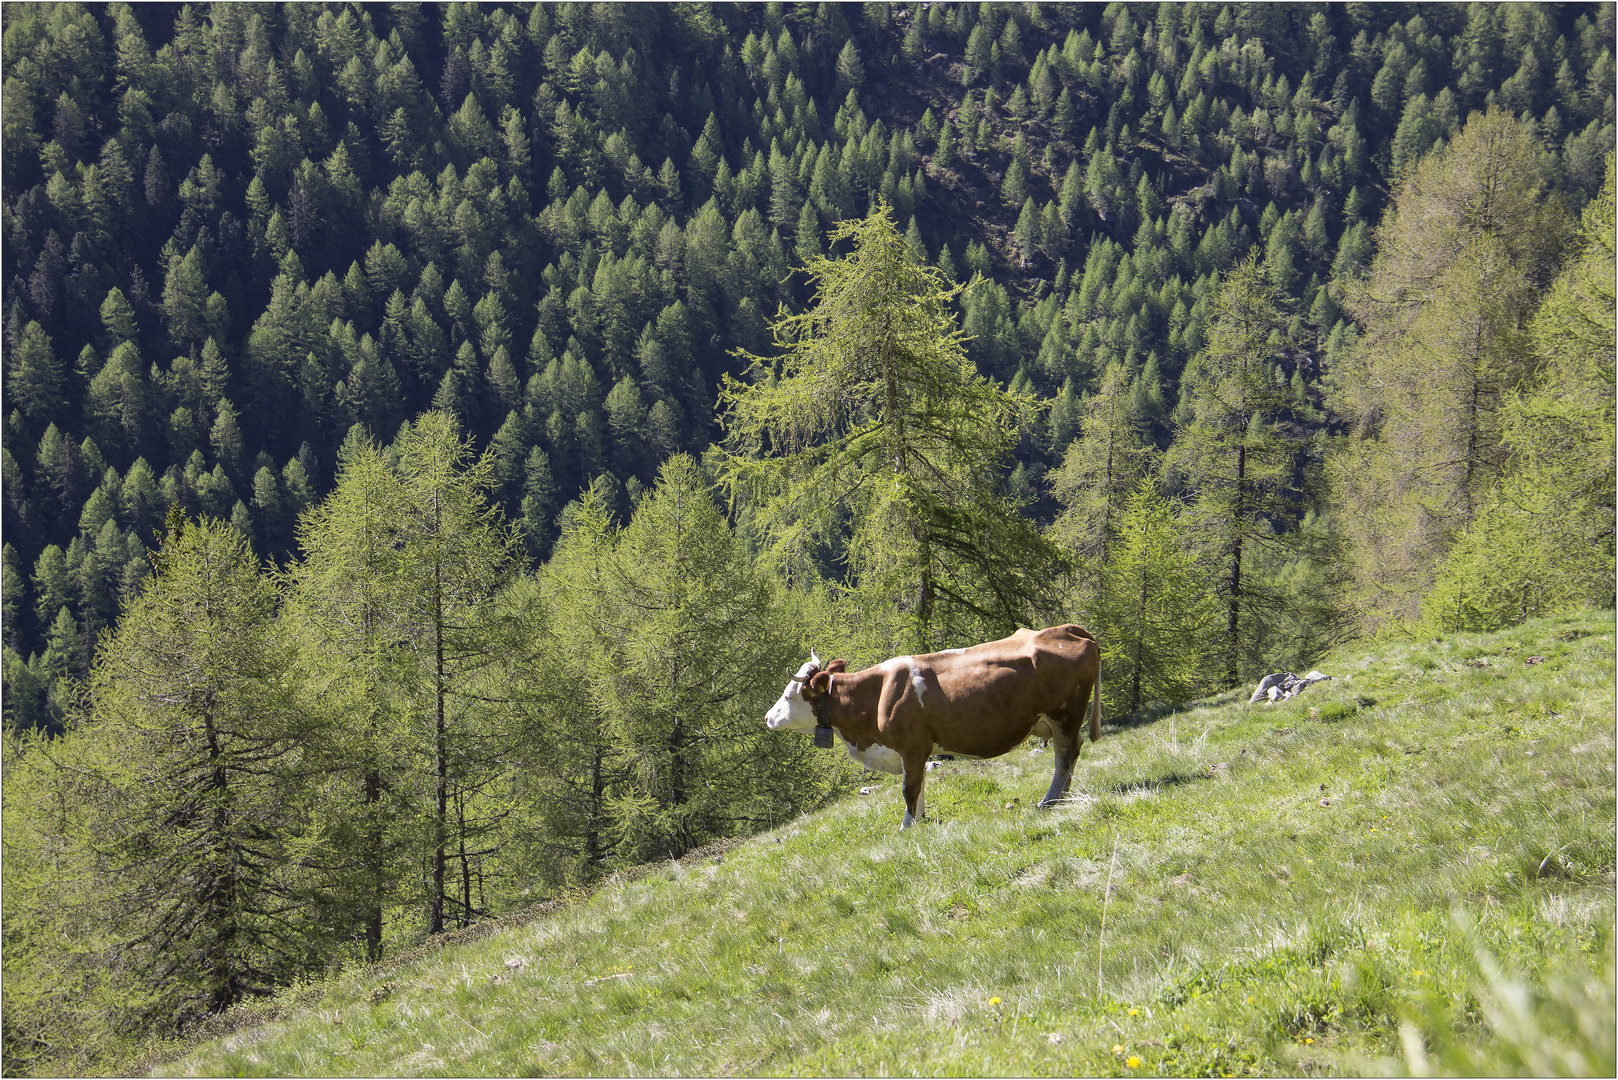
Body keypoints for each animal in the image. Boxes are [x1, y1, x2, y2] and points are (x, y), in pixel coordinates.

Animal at [766, 625, 1100, 829]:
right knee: (1070, 753)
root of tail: (1065, 629)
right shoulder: (914, 752)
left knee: (1065, 756)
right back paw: (1062, 797)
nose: (768, 717)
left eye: (789, 695)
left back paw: (1049, 800)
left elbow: (909, 788)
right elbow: (920, 784)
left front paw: (906, 826)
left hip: (1065, 714)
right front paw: (920, 820)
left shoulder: (912, 747)